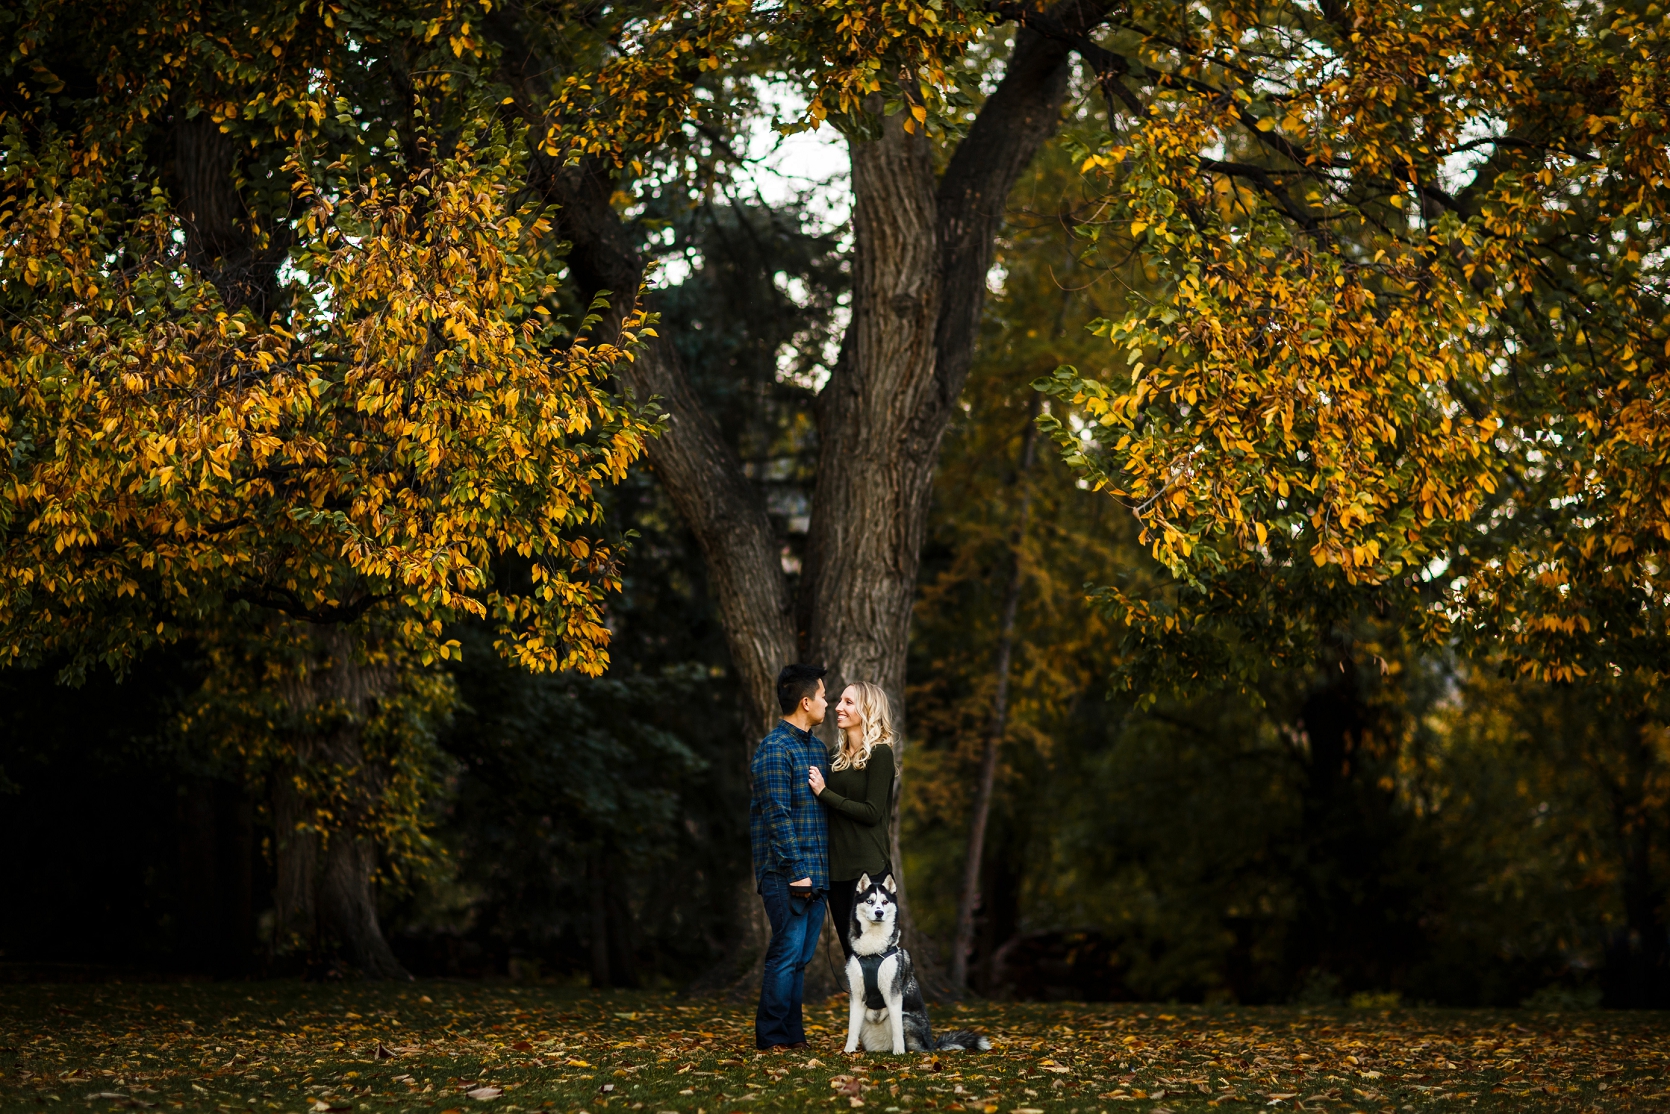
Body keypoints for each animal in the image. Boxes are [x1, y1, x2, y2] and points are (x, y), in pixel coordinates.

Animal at [848, 868, 988, 1055]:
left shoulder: (893, 994)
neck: (873, 951)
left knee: (914, 1044)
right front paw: (848, 1051)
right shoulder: (856, 995)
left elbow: (897, 1029)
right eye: (870, 901)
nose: (879, 913)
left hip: (906, 1017)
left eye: (884, 902)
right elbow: (852, 1029)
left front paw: (899, 1052)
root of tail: (932, 1044)